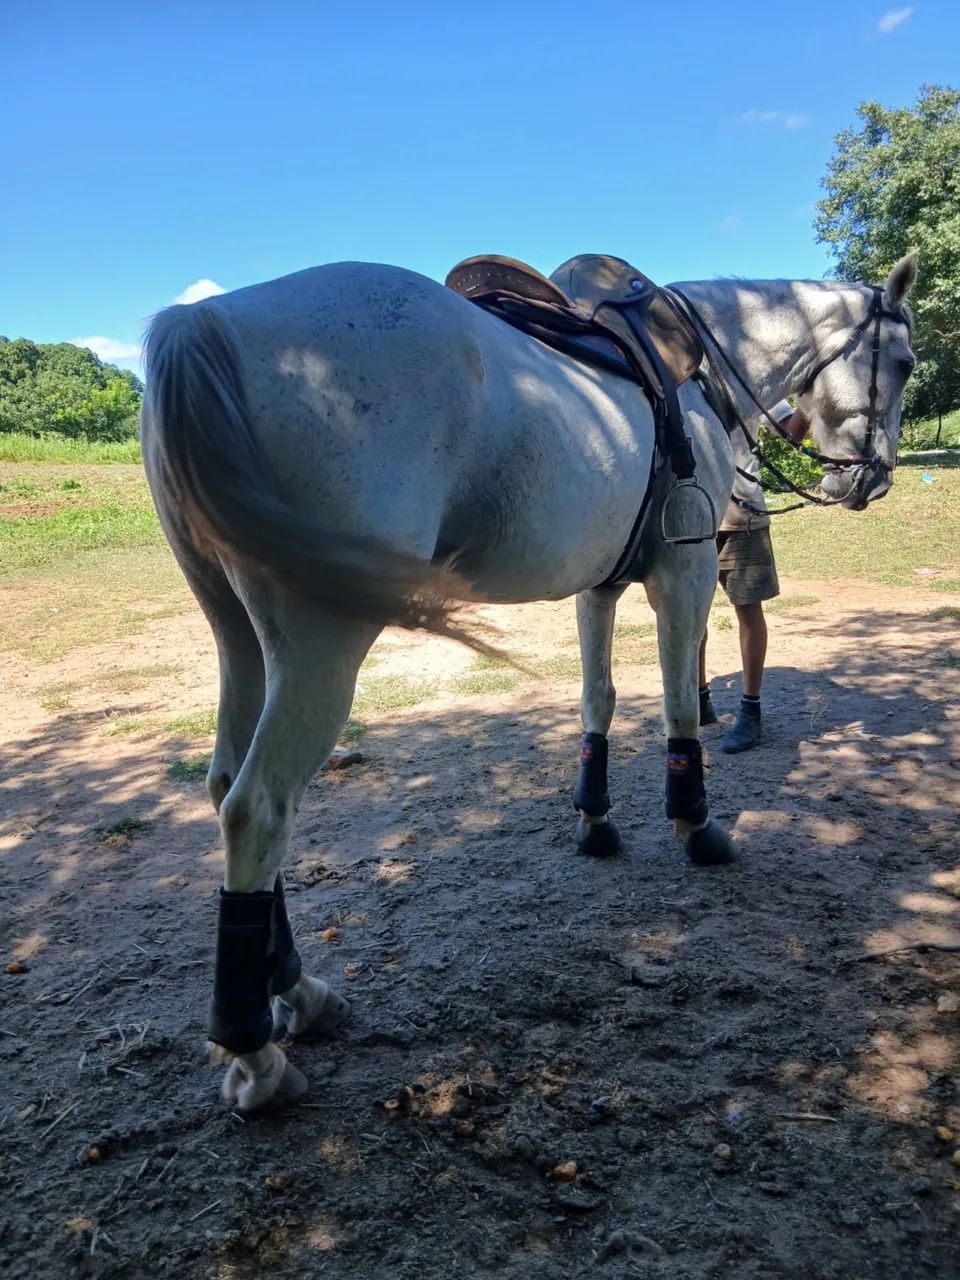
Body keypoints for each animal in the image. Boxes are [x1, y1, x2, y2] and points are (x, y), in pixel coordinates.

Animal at [141, 252, 917, 1112]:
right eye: (905, 363)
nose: (875, 481)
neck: (695, 366)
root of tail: (204, 321)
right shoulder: (682, 572)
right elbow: (680, 704)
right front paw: (695, 823)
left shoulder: (599, 587)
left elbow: (598, 702)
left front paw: (595, 821)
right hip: (319, 644)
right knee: (256, 810)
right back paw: (256, 1051)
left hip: (238, 637)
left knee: (222, 784)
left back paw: (301, 994)